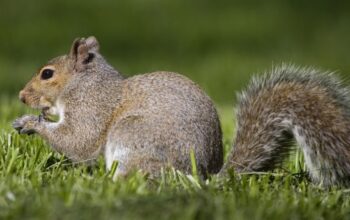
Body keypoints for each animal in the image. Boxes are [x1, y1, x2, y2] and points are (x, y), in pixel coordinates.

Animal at [13, 36, 350, 187]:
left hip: (132, 136)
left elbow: (79, 140)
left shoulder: (91, 109)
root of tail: (201, 179)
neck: (85, 83)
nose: (20, 96)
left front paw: (31, 123)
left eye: (47, 74)